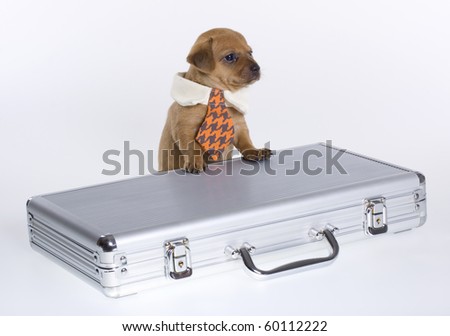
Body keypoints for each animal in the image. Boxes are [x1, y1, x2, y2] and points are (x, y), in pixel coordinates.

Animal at [158, 27, 270, 172]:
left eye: (250, 53)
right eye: (230, 57)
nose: (257, 68)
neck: (216, 92)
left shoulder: (239, 127)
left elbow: (246, 142)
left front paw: (254, 151)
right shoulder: (186, 130)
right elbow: (193, 148)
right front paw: (195, 161)